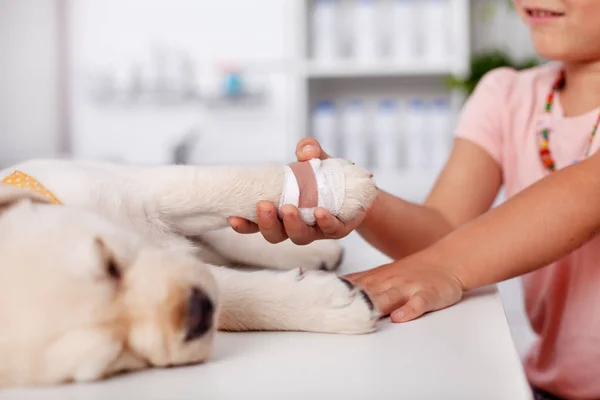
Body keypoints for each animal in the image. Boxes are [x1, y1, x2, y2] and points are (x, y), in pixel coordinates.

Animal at [0, 157, 376, 388]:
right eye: (118, 356)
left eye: (110, 264)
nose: (197, 312)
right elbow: (239, 297)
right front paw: (329, 305)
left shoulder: (140, 190)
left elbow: (222, 185)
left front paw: (340, 188)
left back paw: (318, 248)